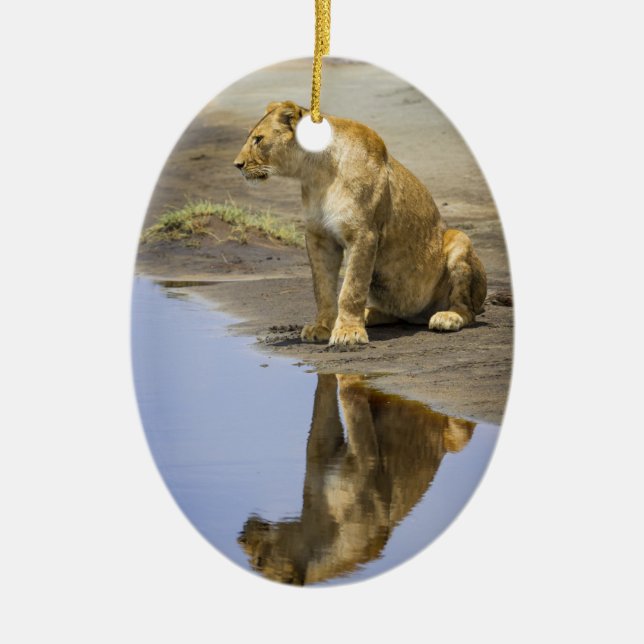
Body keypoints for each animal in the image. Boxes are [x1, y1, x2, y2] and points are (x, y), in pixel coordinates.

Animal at [234, 101, 487, 346]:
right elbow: (322, 287)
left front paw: (348, 333)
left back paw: (447, 317)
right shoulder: (319, 237)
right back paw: (368, 314)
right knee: (395, 313)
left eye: (258, 139)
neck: (317, 173)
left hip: (460, 240)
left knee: (467, 310)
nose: (237, 164)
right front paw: (323, 327)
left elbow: (351, 288)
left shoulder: (363, 234)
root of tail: (419, 316)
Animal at [238, 374, 476, 585]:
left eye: (259, 562)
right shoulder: (322, 449)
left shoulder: (367, 466)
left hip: (457, 436)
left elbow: (349, 395)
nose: (241, 537)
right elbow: (325, 394)